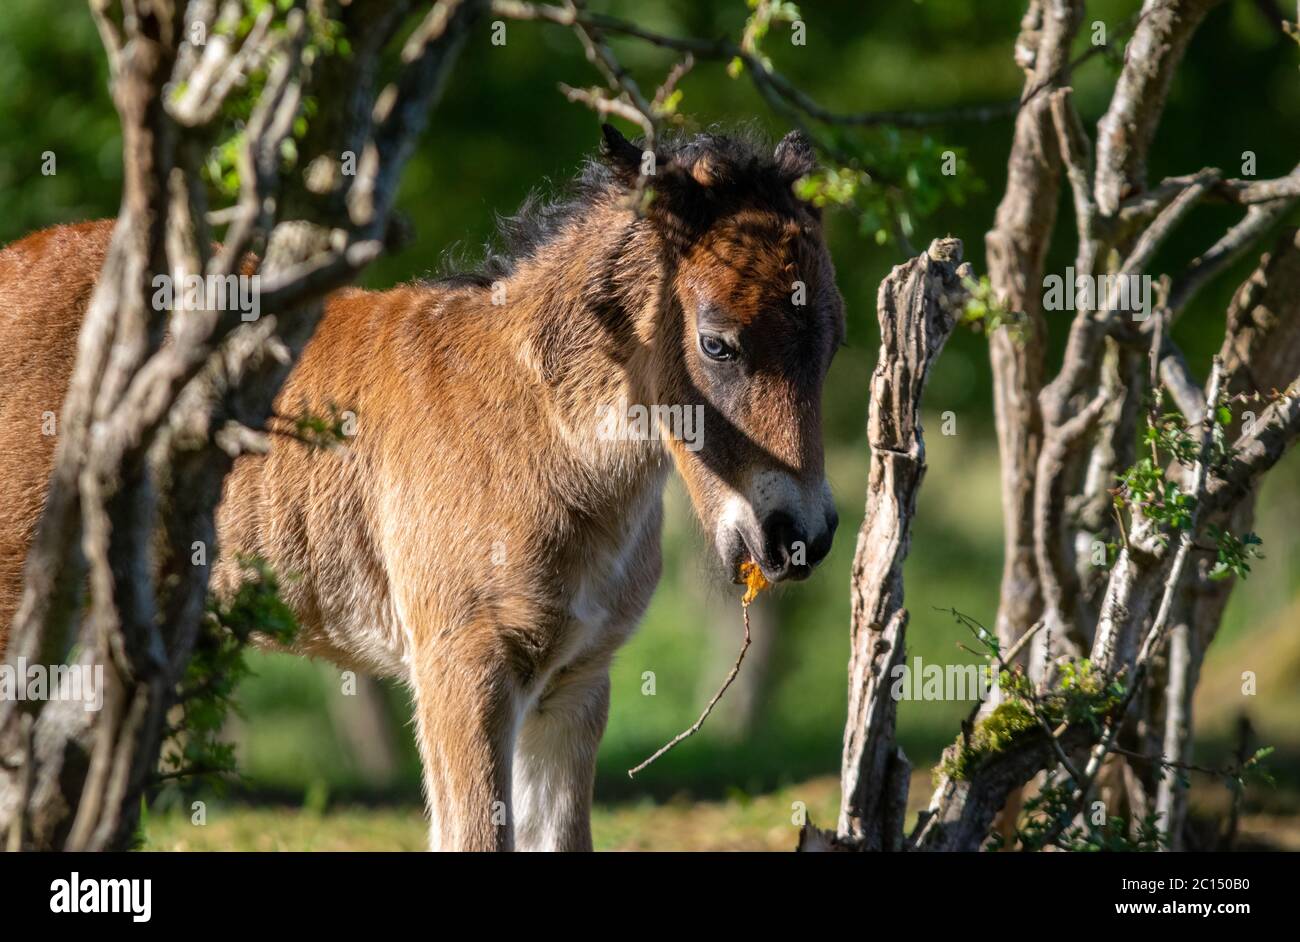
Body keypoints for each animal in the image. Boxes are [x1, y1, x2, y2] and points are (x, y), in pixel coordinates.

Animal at [0, 121, 842, 847]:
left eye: (833, 343)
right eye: (717, 342)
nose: (799, 536)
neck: (536, 428)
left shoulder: (576, 684)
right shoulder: (462, 667)